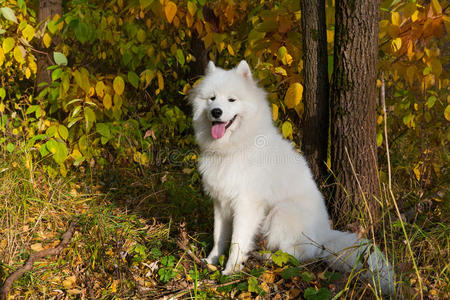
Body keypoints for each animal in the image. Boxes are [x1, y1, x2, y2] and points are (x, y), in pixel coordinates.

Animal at [190, 59, 394, 294]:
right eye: (211, 98)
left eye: (232, 99)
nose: (216, 112)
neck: (234, 148)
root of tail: (325, 235)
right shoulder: (220, 203)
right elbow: (219, 236)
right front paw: (211, 261)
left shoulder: (246, 205)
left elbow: (237, 241)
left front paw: (231, 270)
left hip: (282, 212)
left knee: (298, 254)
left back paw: (267, 256)